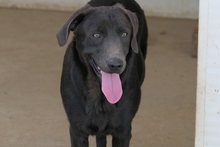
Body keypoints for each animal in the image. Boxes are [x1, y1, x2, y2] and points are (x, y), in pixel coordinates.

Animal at [55, 0, 148, 146]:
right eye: (96, 35)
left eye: (124, 34)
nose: (116, 65)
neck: (99, 94)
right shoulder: (77, 130)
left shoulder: (123, 131)